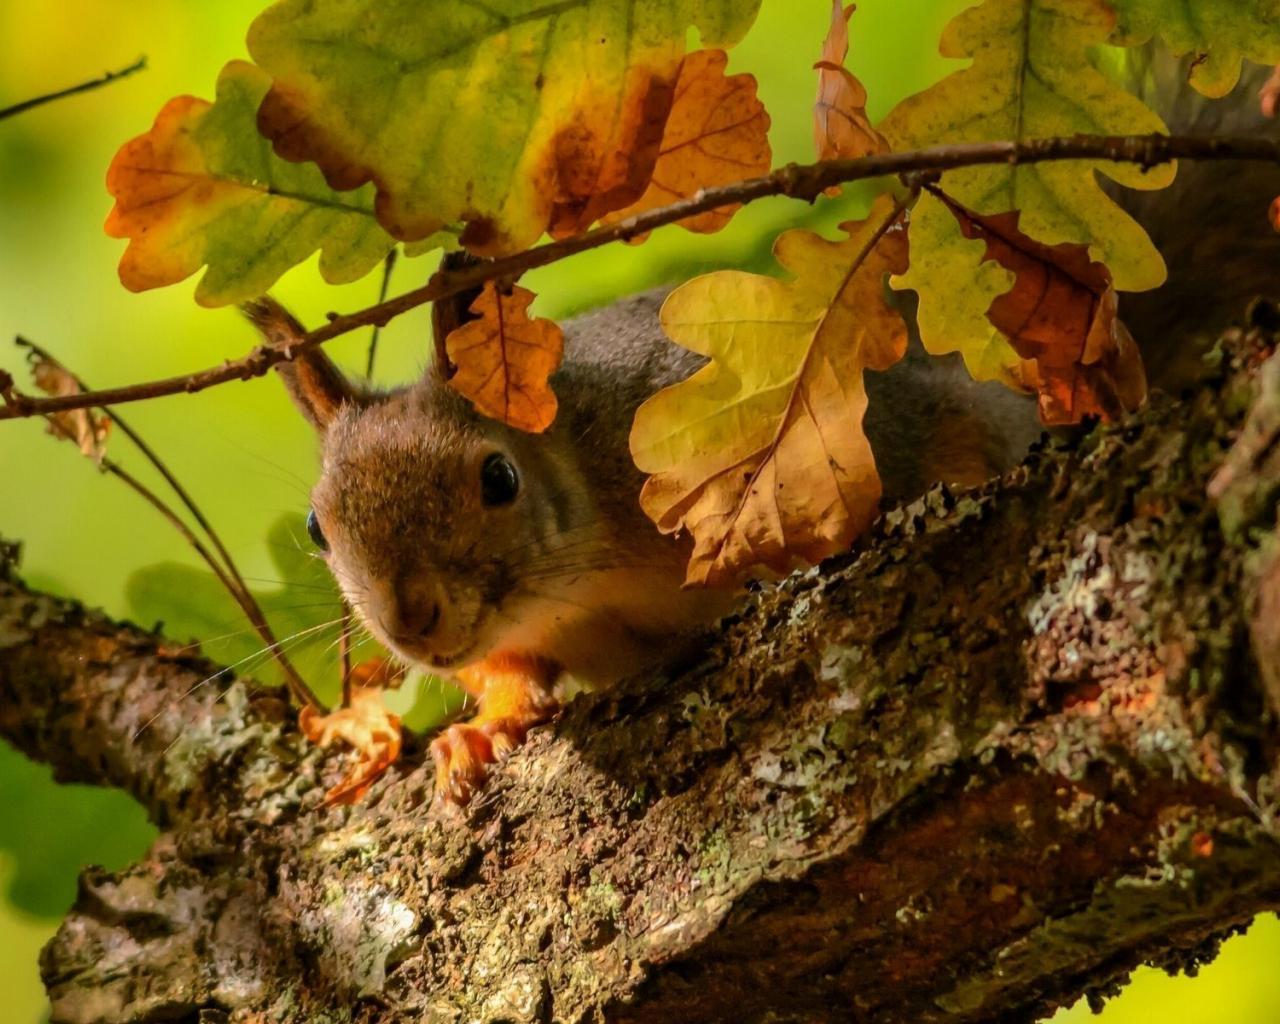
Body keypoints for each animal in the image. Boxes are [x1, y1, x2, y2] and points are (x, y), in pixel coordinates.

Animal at [246, 50, 1280, 804]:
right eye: (318, 528)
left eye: (497, 478)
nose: (410, 622)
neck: (582, 584)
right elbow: (510, 677)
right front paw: (478, 730)